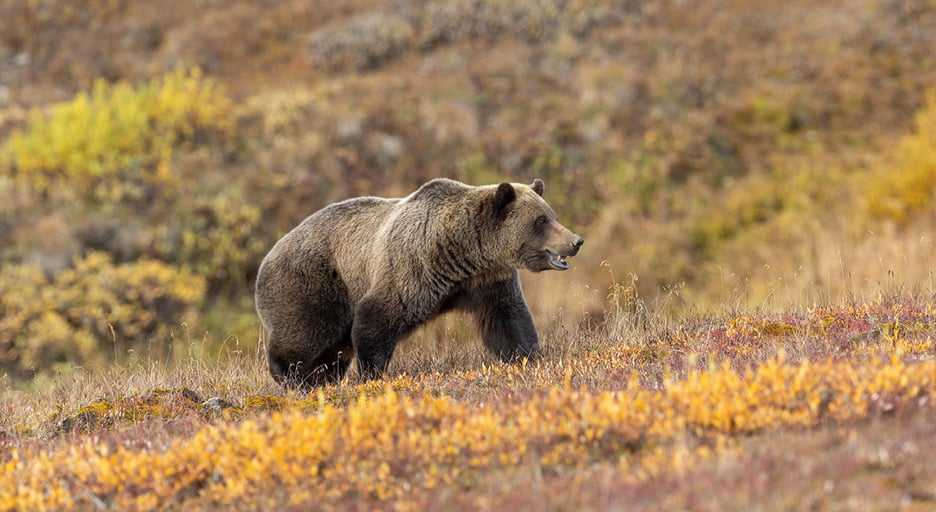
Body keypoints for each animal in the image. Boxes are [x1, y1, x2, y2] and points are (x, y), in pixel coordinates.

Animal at [254, 178, 583, 388]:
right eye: (541, 221)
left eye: (551, 214)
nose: (575, 241)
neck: (462, 253)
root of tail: (268, 254)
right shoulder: (413, 270)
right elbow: (377, 316)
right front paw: (370, 374)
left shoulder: (487, 281)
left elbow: (508, 320)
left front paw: (527, 357)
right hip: (314, 282)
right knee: (306, 332)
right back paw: (292, 376)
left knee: (333, 349)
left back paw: (321, 378)